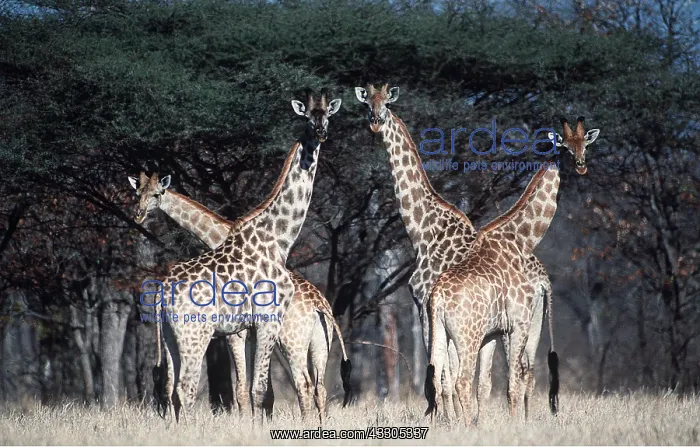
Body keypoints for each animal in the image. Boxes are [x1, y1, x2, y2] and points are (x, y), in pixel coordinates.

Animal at [128, 171, 352, 424]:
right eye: (137, 193)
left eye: (157, 194)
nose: (138, 215)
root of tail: (319, 306)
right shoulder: (255, 332)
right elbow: (266, 391)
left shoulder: (238, 333)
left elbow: (244, 388)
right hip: (320, 342)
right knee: (319, 387)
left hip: (291, 342)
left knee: (303, 384)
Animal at [148, 90, 341, 423]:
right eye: (307, 117)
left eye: (328, 115)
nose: (320, 133)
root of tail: (321, 306)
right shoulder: (252, 327)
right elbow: (255, 390)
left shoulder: (244, 330)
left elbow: (254, 390)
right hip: (201, 335)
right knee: (182, 387)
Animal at [424, 165, 560, 425]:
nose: (582, 163)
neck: (520, 242)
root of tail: (438, 297)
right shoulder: (518, 324)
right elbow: (512, 384)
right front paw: (514, 424)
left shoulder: (492, 334)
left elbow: (486, 384)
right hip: (468, 336)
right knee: (462, 380)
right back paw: (466, 426)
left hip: (439, 330)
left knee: (434, 378)